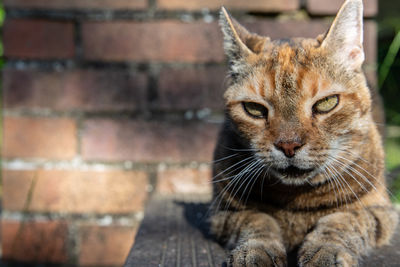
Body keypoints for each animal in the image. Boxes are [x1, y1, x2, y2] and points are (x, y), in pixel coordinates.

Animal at [211, 0, 398, 266]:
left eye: (326, 103)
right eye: (254, 109)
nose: (288, 145)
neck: (297, 199)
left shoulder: (379, 212)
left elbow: (341, 221)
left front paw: (326, 250)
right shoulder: (224, 214)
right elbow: (257, 220)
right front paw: (255, 251)